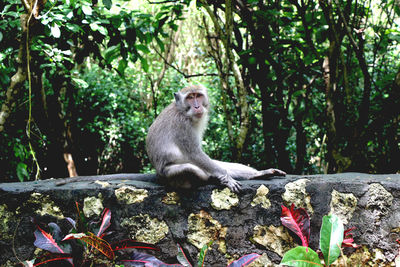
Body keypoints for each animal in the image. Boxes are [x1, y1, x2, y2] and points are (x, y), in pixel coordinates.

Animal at [55, 85, 284, 192]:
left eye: (198, 95)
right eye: (190, 97)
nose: (197, 106)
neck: (184, 111)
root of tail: (157, 173)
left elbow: (209, 159)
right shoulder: (183, 126)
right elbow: (195, 153)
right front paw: (225, 178)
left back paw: (257, 174)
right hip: (170, 175)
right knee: (193, 169)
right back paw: (212, 178)